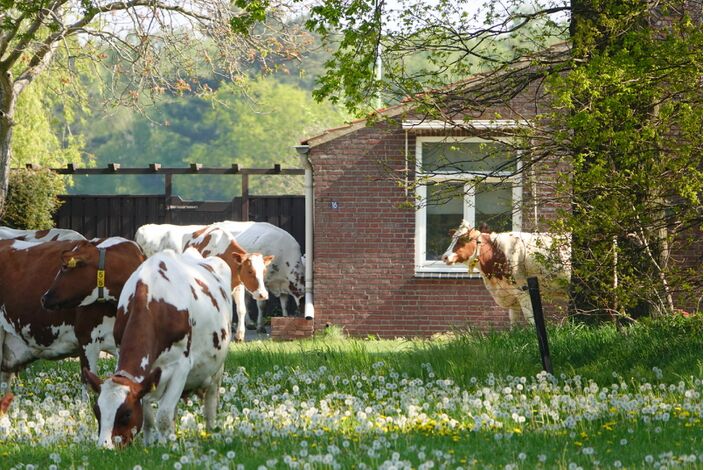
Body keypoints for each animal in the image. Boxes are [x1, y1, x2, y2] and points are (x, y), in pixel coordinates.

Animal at [82, 246, 231, 448]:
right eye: (97, 411)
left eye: (126, 413)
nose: (104, 447)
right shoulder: (146, 373)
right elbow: (149, 417)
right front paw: (149, 444)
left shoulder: (182, 366)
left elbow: (163, 416)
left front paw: (164, 446)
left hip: (217, 369)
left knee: (210, 402)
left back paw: (209, 432)